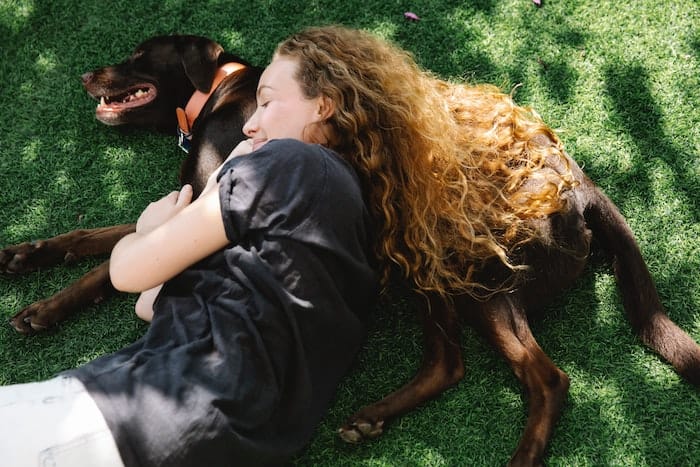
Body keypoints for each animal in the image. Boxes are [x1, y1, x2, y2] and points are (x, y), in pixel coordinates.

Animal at [1, 33, 700, 467]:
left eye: (140, 54)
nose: (84, 73)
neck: (225, 92)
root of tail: (579, 183)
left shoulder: (206, 200)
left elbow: (111, 265)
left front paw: (43, 308)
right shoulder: (190, 198)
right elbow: (95, 239)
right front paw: (27, 256)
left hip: (477, 279)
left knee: (545, 377)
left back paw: (523, 452)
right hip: (434, 277)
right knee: (449, 363)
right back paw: (374, 417)